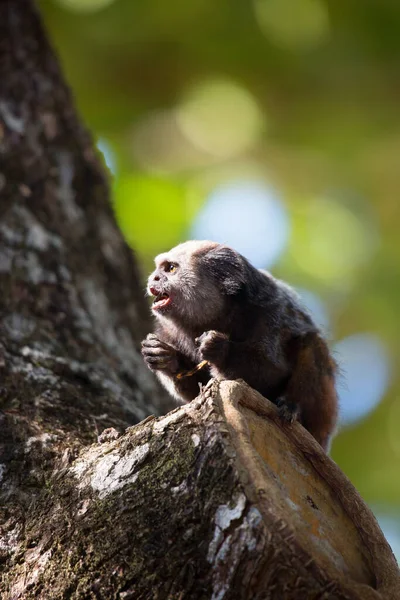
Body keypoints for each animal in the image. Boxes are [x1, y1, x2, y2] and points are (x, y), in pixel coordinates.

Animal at [141, 239, 338, 450]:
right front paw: (166, 358)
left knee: (312, 344)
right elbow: (195, 390)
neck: (222, 315)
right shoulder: (168, 332)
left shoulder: (271, 316)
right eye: (158, 269)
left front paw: (220, 349)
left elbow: (273, 373)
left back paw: (292, 407)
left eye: (170, 268)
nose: (153, 278)